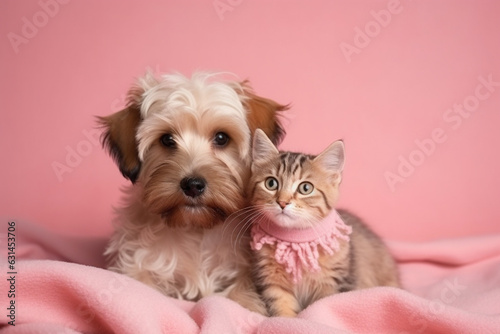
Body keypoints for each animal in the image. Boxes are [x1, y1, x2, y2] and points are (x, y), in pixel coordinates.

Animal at [98, 71, 286, 314]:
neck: (197, 229)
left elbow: (241, 295)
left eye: (221, 138)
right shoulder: (137, 265)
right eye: (167, 139)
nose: (193, 185)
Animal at [248, 129, 400, 318]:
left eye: (305, 188)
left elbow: (324, 306)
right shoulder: (273, 284)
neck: (296, 241)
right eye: (271, 183)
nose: (282, 202)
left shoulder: (335, 283)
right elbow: (282, 310)